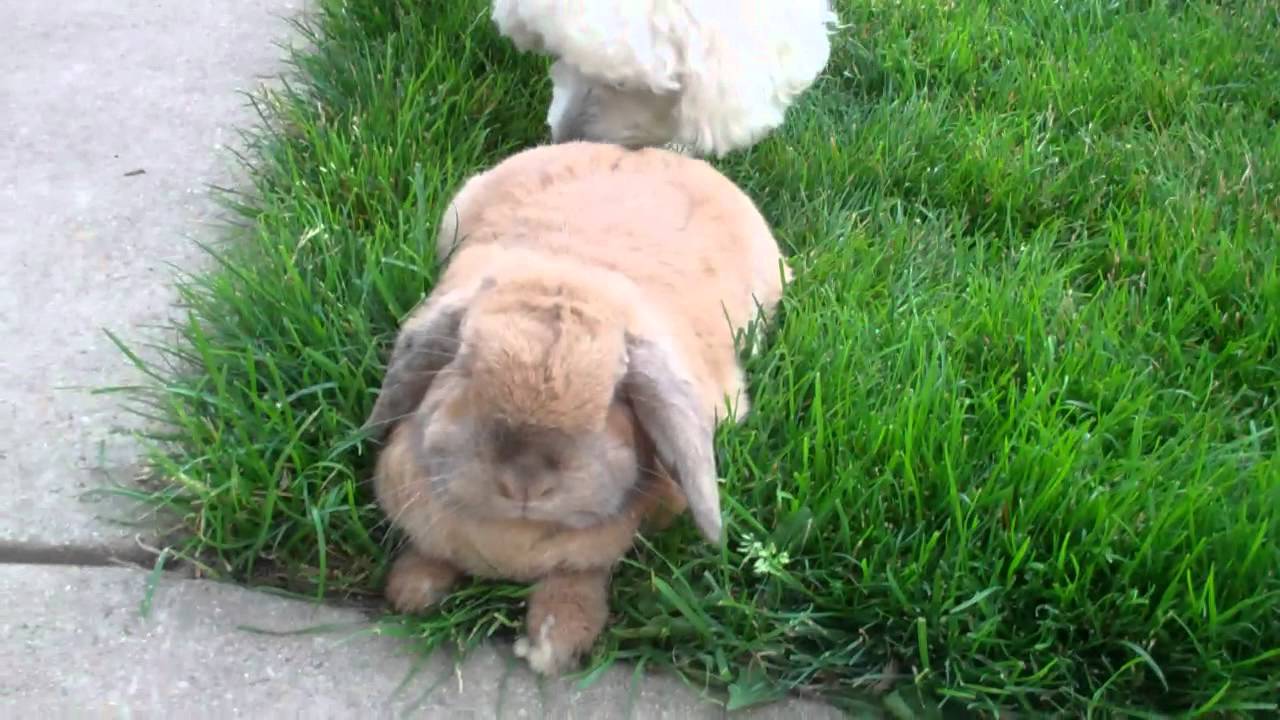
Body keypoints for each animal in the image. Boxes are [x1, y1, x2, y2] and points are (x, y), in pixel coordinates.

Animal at [363, 141, 789, 676]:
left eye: (613, 398)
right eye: (463, 369)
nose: (524, 484)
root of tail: (637, 152)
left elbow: (581, 578)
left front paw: (557, 642)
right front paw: (411, 590)